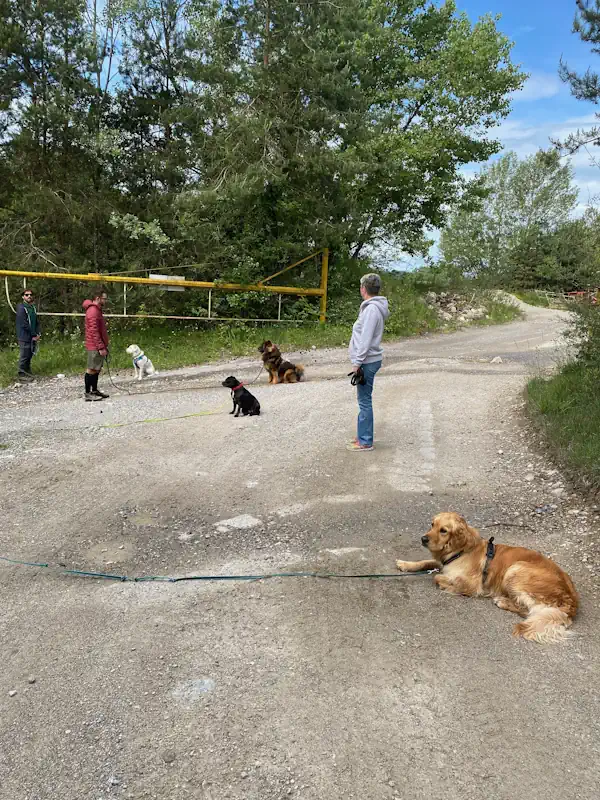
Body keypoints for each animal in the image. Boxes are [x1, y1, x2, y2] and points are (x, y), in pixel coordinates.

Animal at [396, 512, 580, 644]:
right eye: (432, 524)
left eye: (444, 530)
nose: (423, 539)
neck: (461, 550)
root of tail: (571, 602)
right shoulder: (442, 562)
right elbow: (427, 562)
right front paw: (406, 564)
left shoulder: (472, 584)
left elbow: (438, 578)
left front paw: (447, 585)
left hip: (515, 569)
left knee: (526, 610)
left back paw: (503, 601)